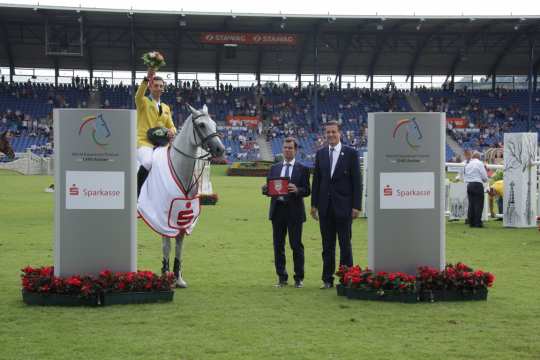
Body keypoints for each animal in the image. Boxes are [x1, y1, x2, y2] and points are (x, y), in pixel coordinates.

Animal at [139, 104, 226, 286]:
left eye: (215, 124)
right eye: (201, 125)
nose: (220, 149)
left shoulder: (182, 218)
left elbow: (179, 247)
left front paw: (178, 278)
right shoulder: (162, 218)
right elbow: (167, 247)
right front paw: (165, 275)